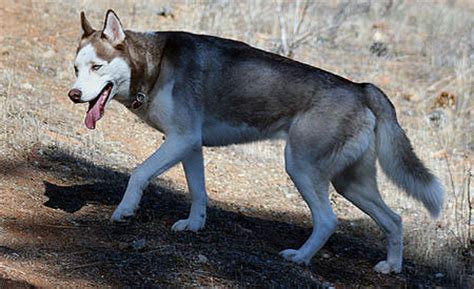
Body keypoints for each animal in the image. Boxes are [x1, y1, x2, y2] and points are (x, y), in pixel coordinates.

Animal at [67, 10, 444, 272]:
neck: (155, 64)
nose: (74, 95)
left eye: (97, 67)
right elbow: (198, 193)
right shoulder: (189, 145)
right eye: (75, 68)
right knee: (394, 220)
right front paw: (194, 226)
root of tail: (362, 87)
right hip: (351, 184)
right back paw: (392, 267)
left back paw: (300, 257)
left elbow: (139, 173)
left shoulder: (180, 139)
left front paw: (125, 210)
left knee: (327, 221)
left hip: (301, 168)